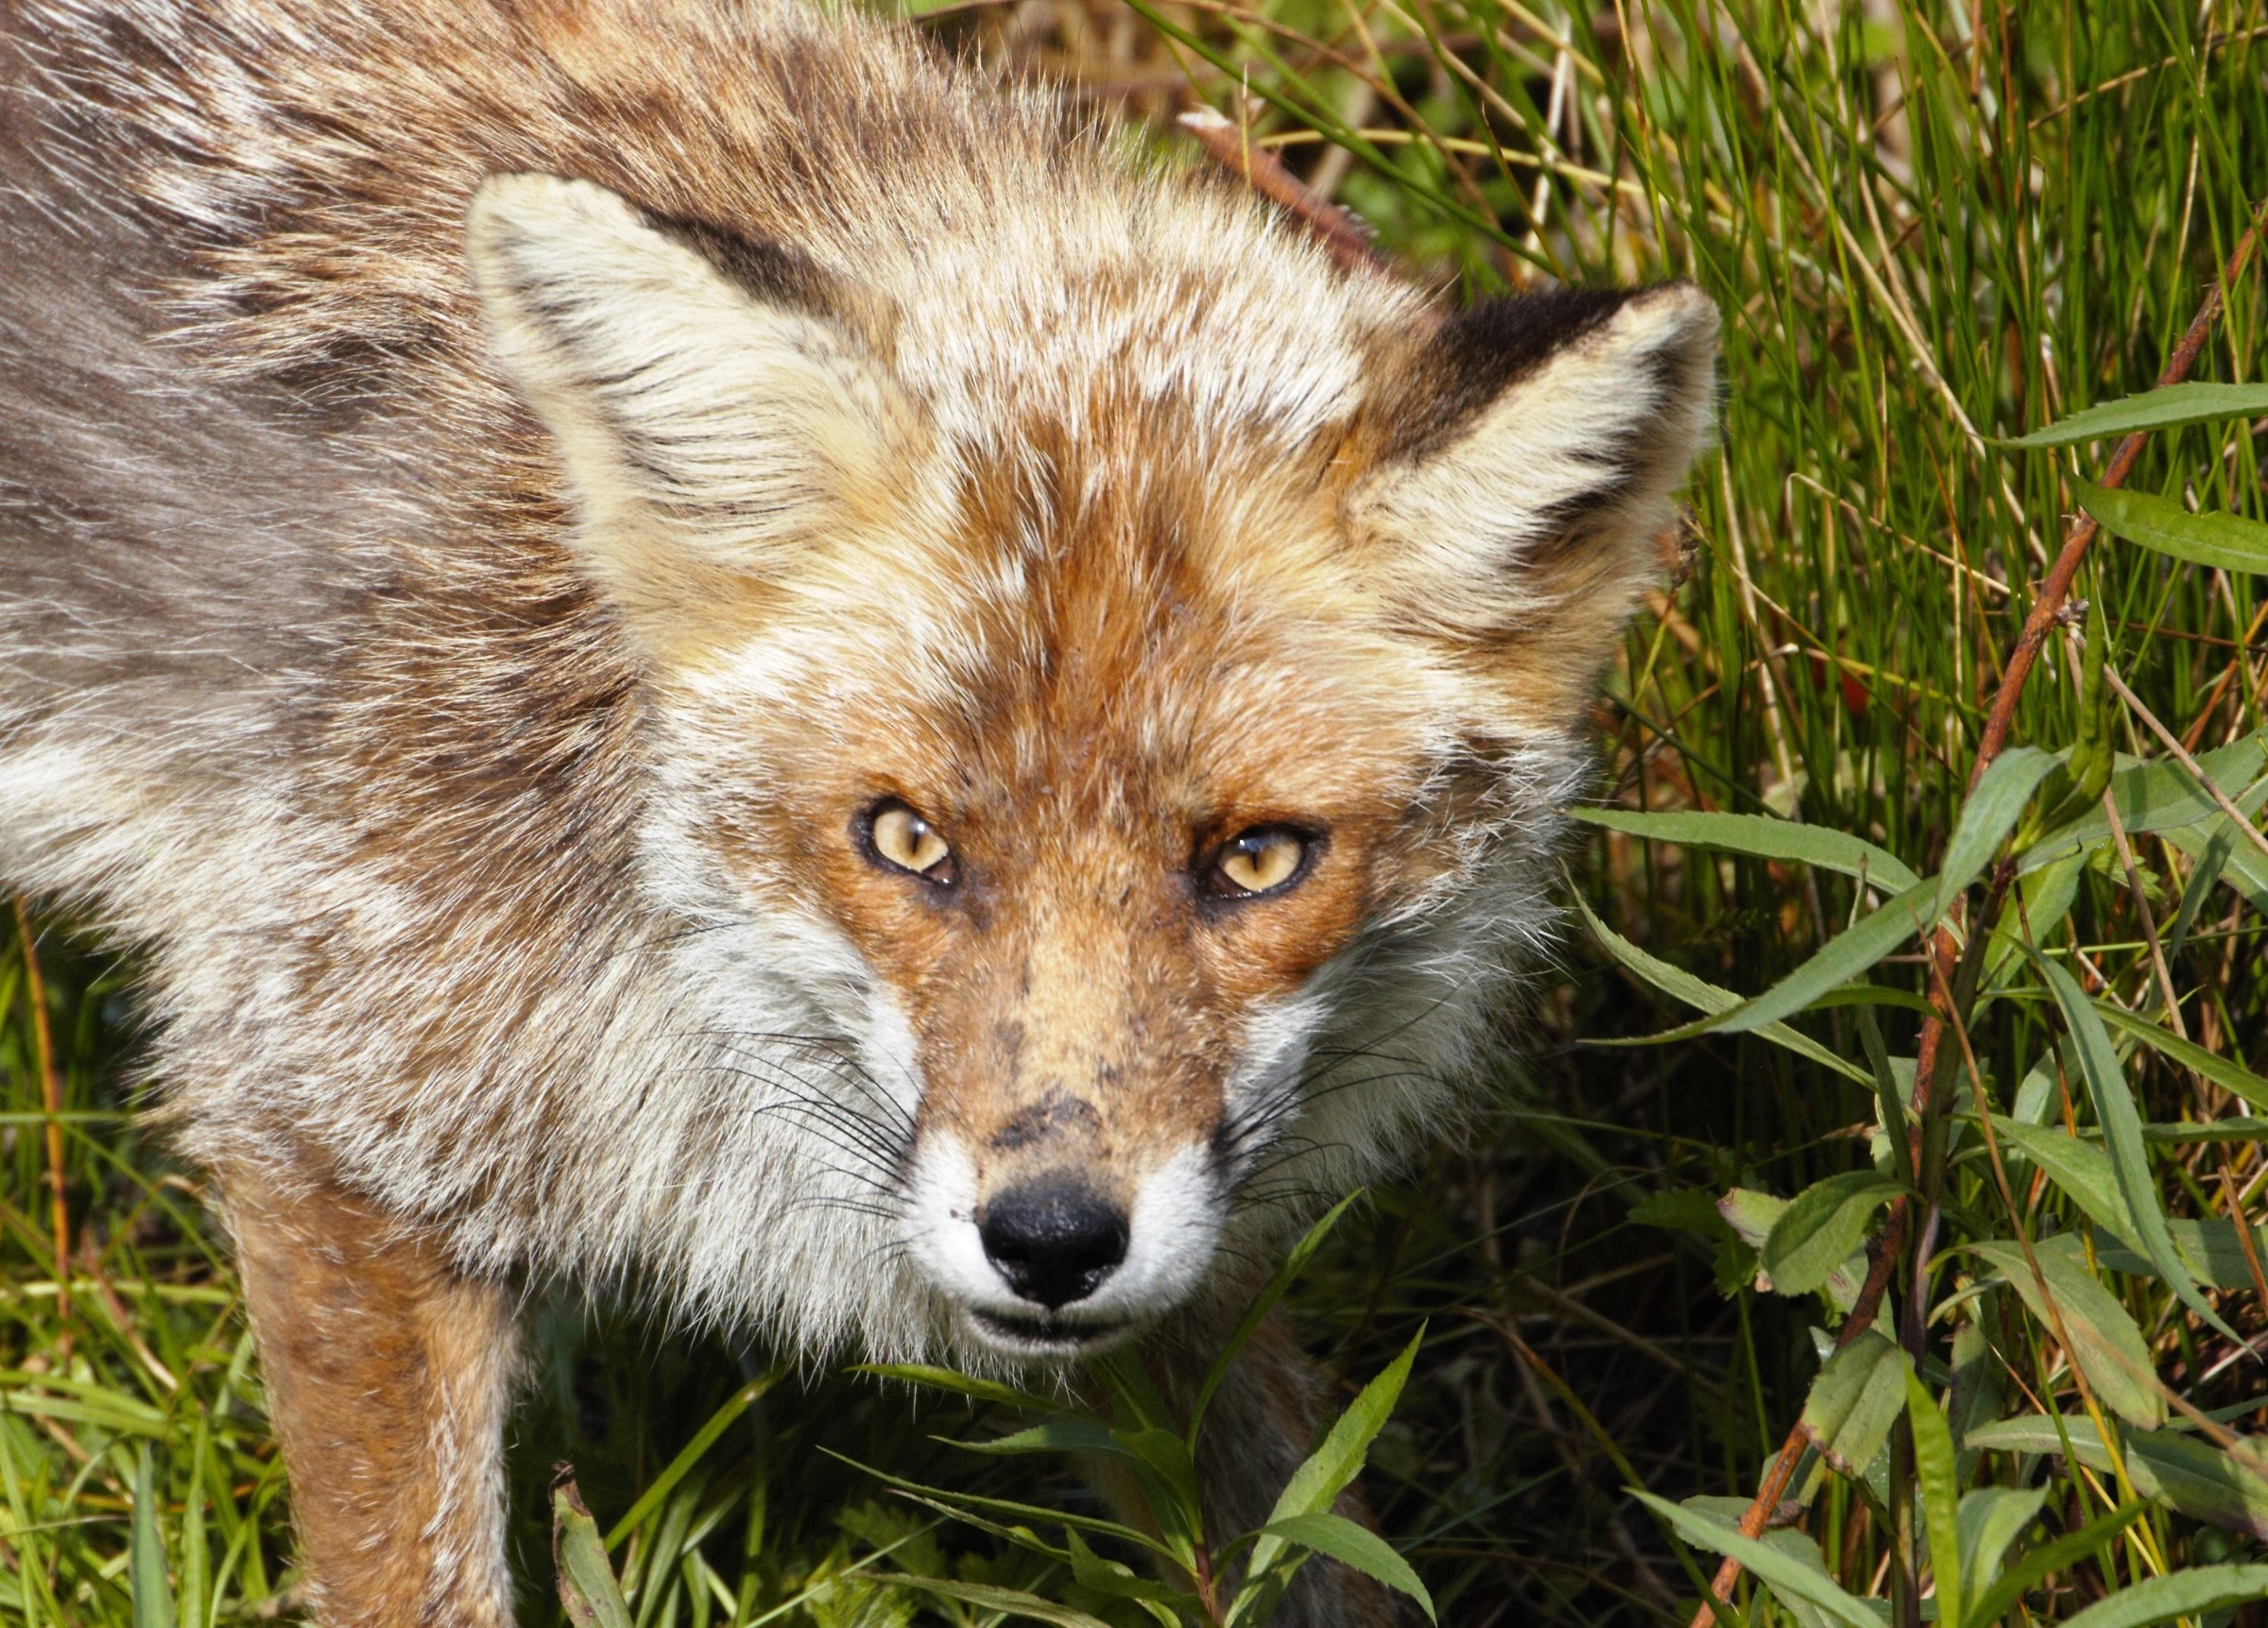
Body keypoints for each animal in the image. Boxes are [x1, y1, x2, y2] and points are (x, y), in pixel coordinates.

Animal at [0, 0, 1716, 1620]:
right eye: (906, 838)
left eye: (1256, 858)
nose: (1050, 1237)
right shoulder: (322, 1102)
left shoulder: (1179, 1260)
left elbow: (1306, 1535)